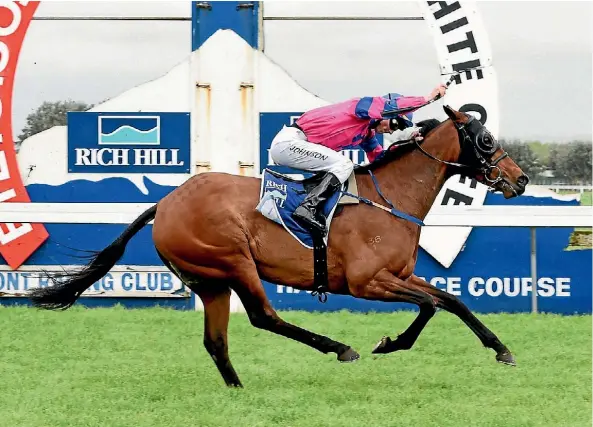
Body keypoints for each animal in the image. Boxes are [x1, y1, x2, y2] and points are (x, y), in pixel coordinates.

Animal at [27, 106, 528, 388]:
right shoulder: (368, 282)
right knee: (263, 317)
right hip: (233, 261)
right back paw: (338, 348)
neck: (391, 199)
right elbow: (429, 306)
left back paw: (238, 390)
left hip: (209, 281)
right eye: (486, 139)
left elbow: (452, 301)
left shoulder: (400, 275)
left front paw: (501, 349)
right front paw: (390, 343)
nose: (520, 179)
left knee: (216, 340)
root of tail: (165, 203)